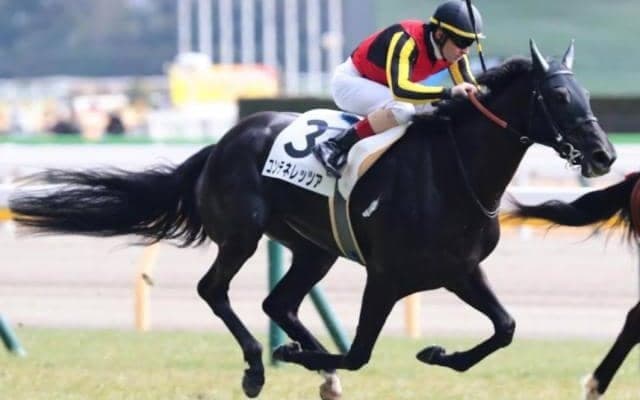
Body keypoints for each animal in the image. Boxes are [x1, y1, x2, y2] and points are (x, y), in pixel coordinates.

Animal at [9, 40, 616, 398]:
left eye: (586, 93)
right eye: (558, 96)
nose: (605, 155)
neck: (454, 171)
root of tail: (222, 143)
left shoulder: (460, 270)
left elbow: (505, 328)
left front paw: (436, 352)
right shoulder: (387, 276)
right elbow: (361, 351)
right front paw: (293, 354)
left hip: (314, 247)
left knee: (279, 302)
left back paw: (308, 360)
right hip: (242, 233)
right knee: (215, 290)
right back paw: (260, 364)